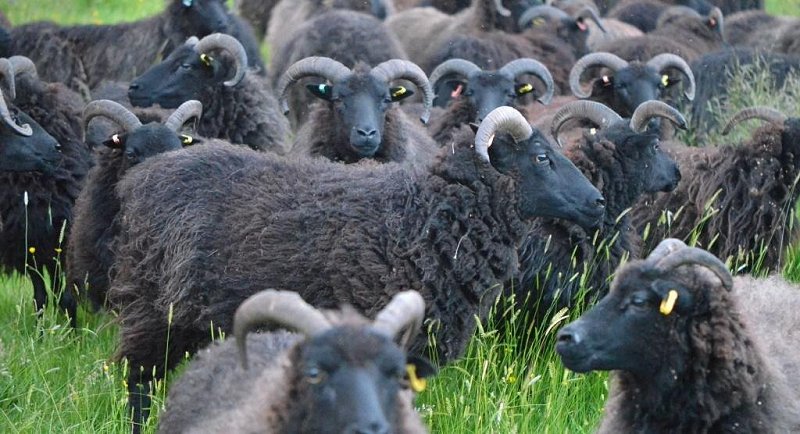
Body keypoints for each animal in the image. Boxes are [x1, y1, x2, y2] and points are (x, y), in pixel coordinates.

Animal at [0, 87, 90, 327]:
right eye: (14, 116)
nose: (56, 146)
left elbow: (66, 297)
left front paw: (72, 335)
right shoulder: (28, 246)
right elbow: (39, 298)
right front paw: (42, 334)